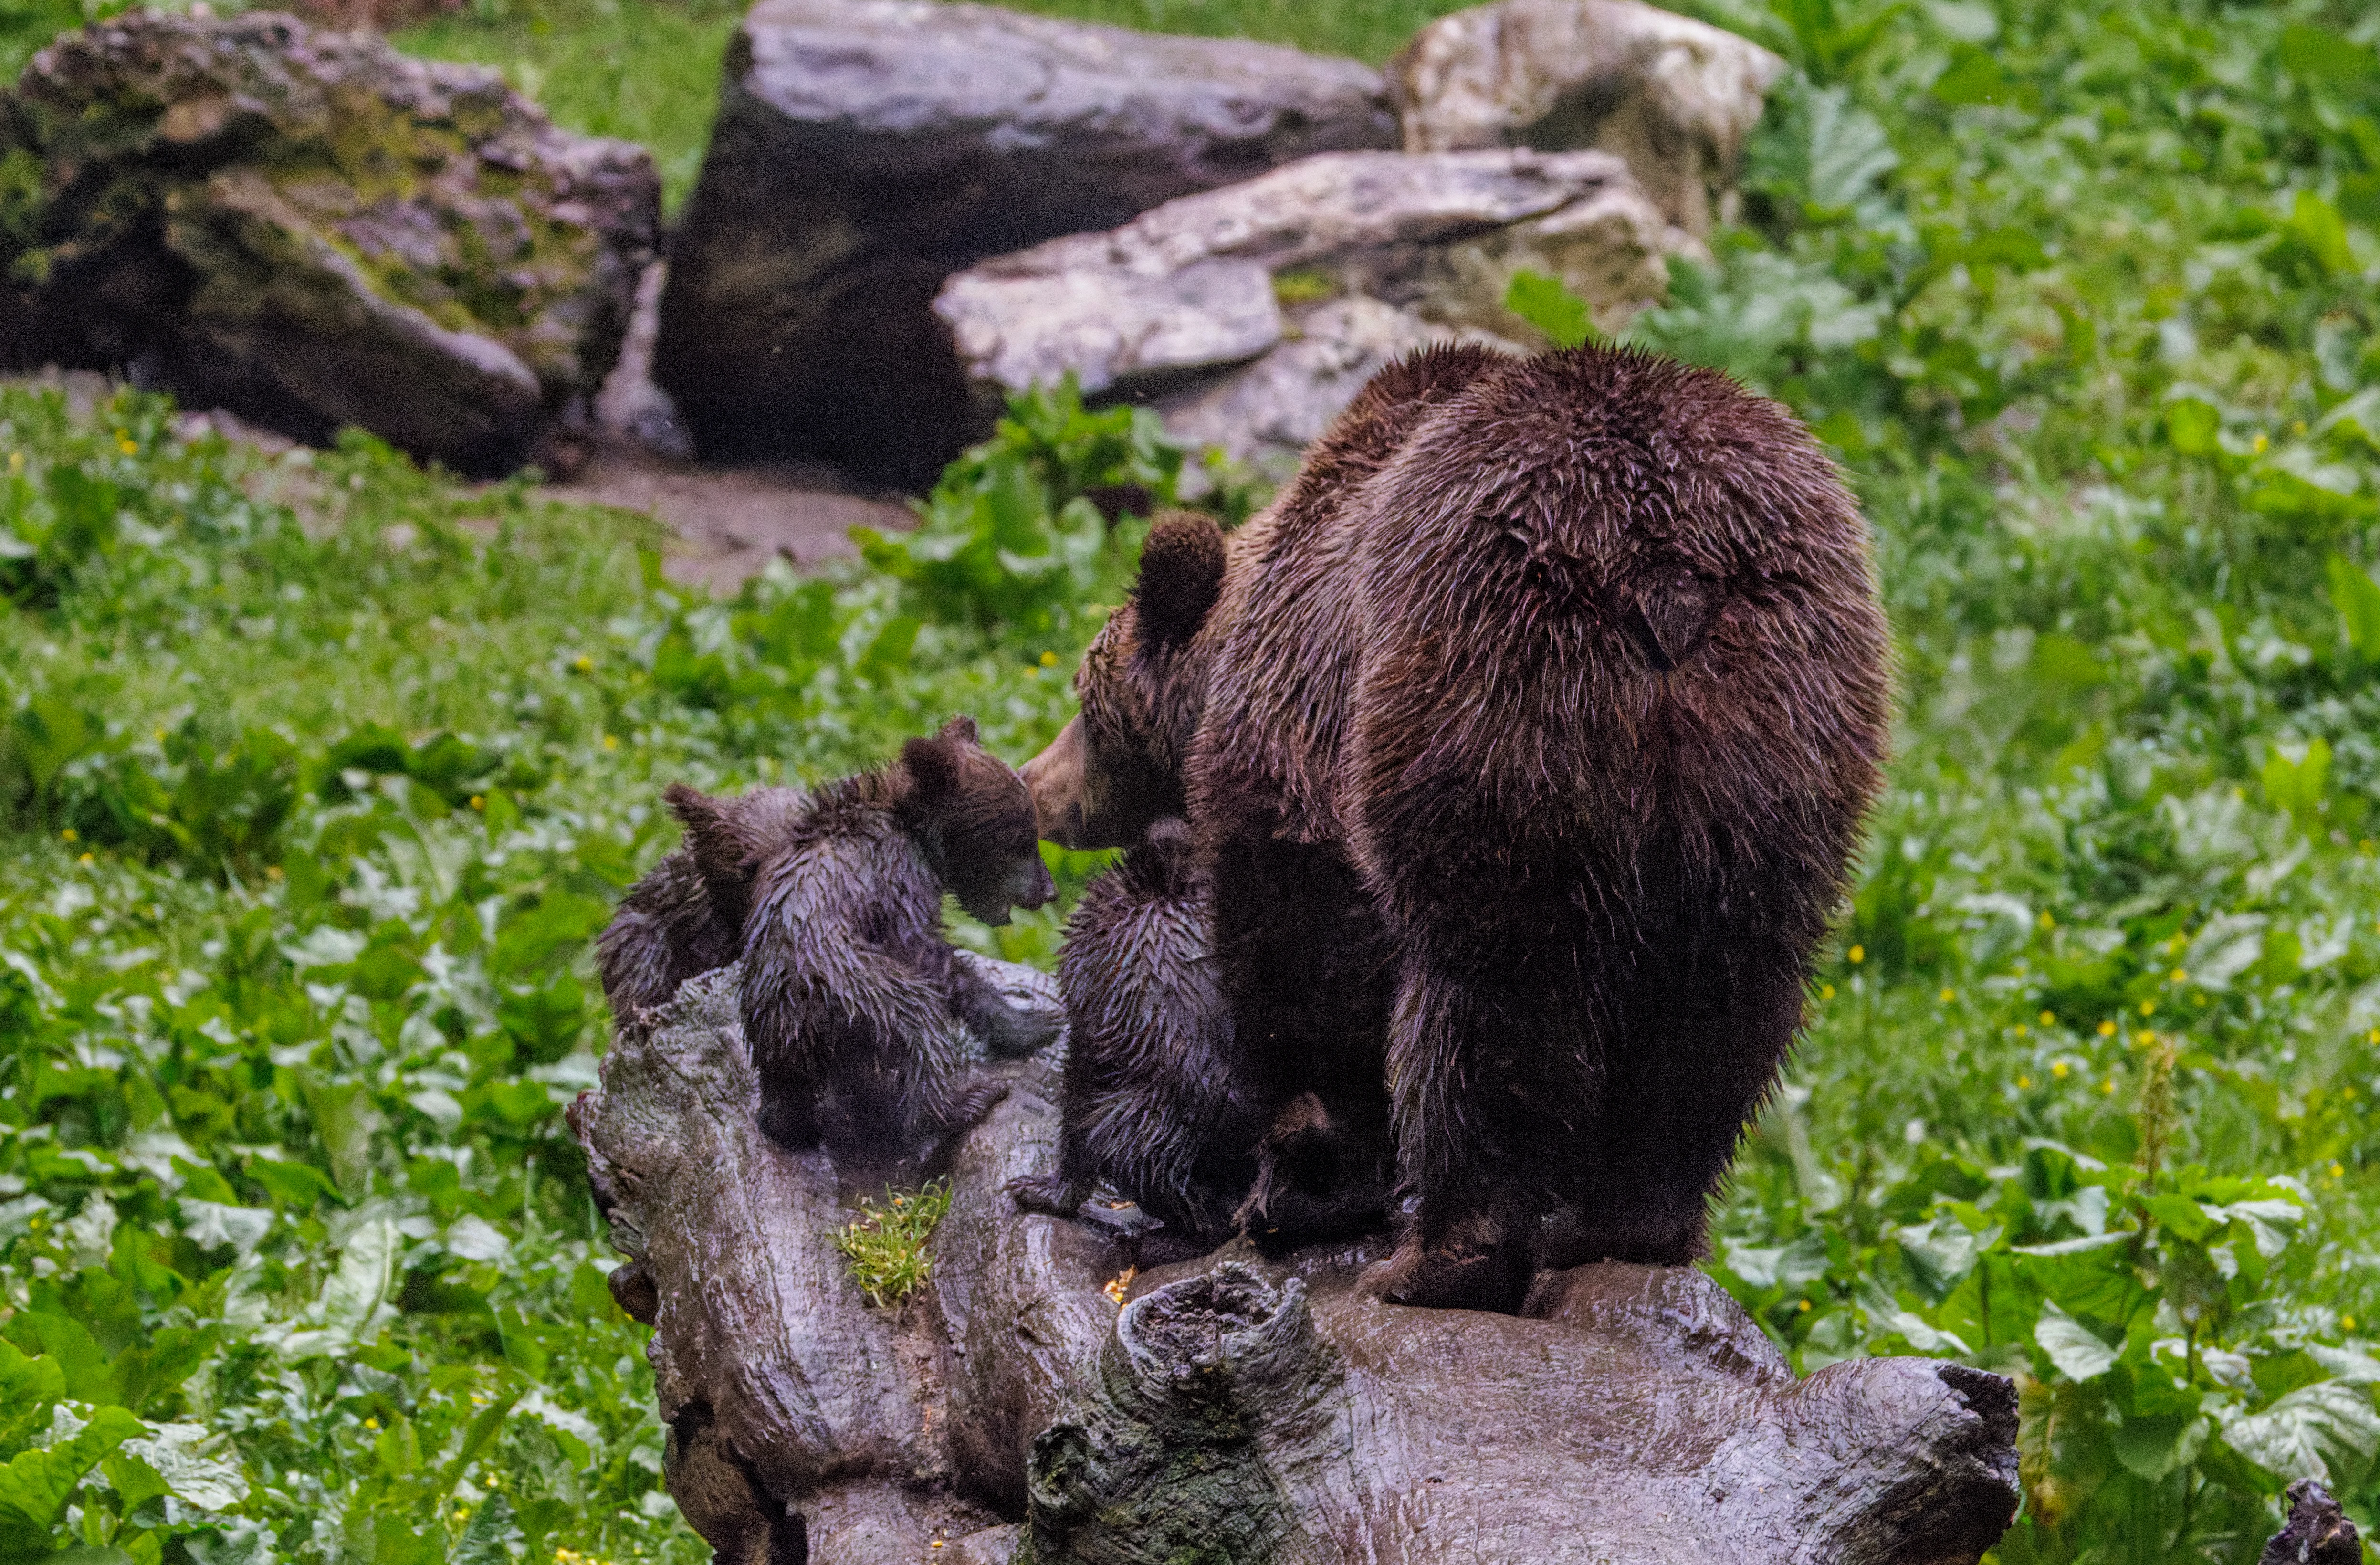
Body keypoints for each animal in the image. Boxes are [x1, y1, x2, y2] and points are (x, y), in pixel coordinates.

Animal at [597, 716, 1061, 1163]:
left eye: (1031, 833)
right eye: (1021, 839)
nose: (1049, 890)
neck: (910, 826)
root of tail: (799, 1011)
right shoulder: (897, 880)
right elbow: (928, 955)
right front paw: (1033, 1023)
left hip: (773, 1029)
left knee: (785, 1094)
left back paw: (787, 1123)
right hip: (858, 991)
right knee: (916, 1017)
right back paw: (967, 1101)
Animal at [1018, 343, 1891, 1311]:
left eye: (1084, 702)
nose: (1033, 783)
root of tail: (1663, 569)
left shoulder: (1307, 712)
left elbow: (1299, 936)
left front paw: (1301, 1183)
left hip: (1496, 687)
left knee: (1487, 990)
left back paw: (1440, 1257)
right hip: (1782, 728)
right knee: (1723, 989)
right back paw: (1627, 1223)